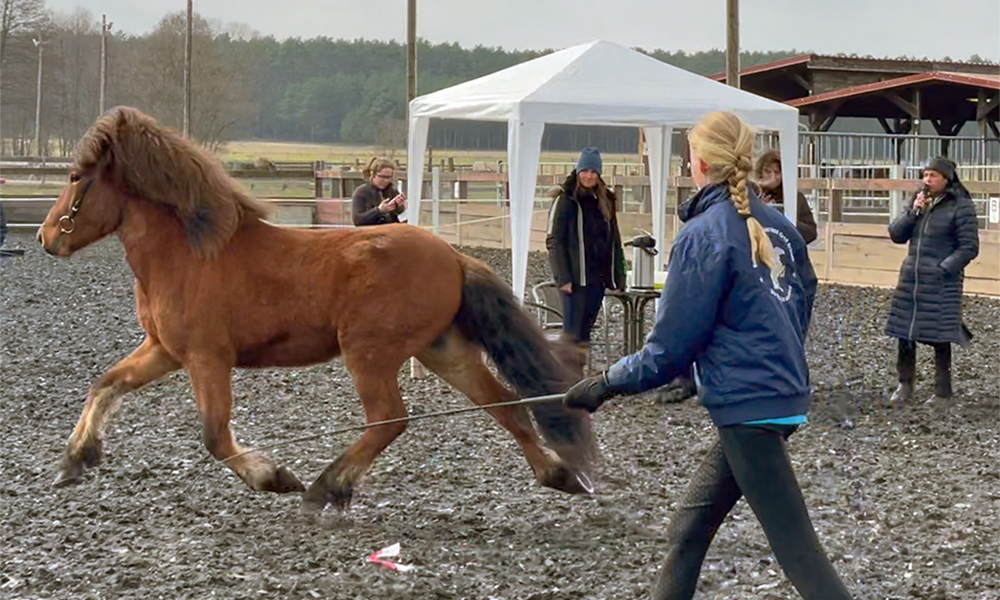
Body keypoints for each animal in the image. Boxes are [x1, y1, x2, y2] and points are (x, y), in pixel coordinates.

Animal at [37, 105, 592, 508]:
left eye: (74, 176)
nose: (46, 238)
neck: (190, 253)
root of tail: (454, 256)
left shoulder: (206, 359)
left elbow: (216, 436)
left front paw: (274, 476)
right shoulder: (163, 350)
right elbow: (106, 384)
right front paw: (75, 459)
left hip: (370, 353)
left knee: (389, 418)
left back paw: (328, 486)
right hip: (443, 349)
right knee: (503, 404)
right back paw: (559, 474)